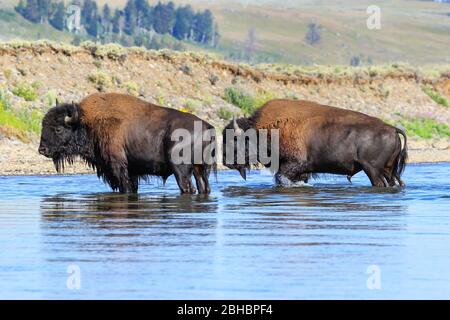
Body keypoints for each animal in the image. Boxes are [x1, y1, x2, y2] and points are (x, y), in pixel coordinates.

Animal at [38, 92, 216, 192]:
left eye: (58, 129)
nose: (42, 150)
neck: (86, 122)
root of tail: (206, 126)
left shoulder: (118, 167)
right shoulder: (131, 171)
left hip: (181, 170)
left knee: (188, 188)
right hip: (200, 169)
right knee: (204, 188)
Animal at [222, 99, 408, 186]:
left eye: (234, 140)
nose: (225, 161)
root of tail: (392, 129)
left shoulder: (294, 165)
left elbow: (280, 177)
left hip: (372, 170)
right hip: (388, 170)